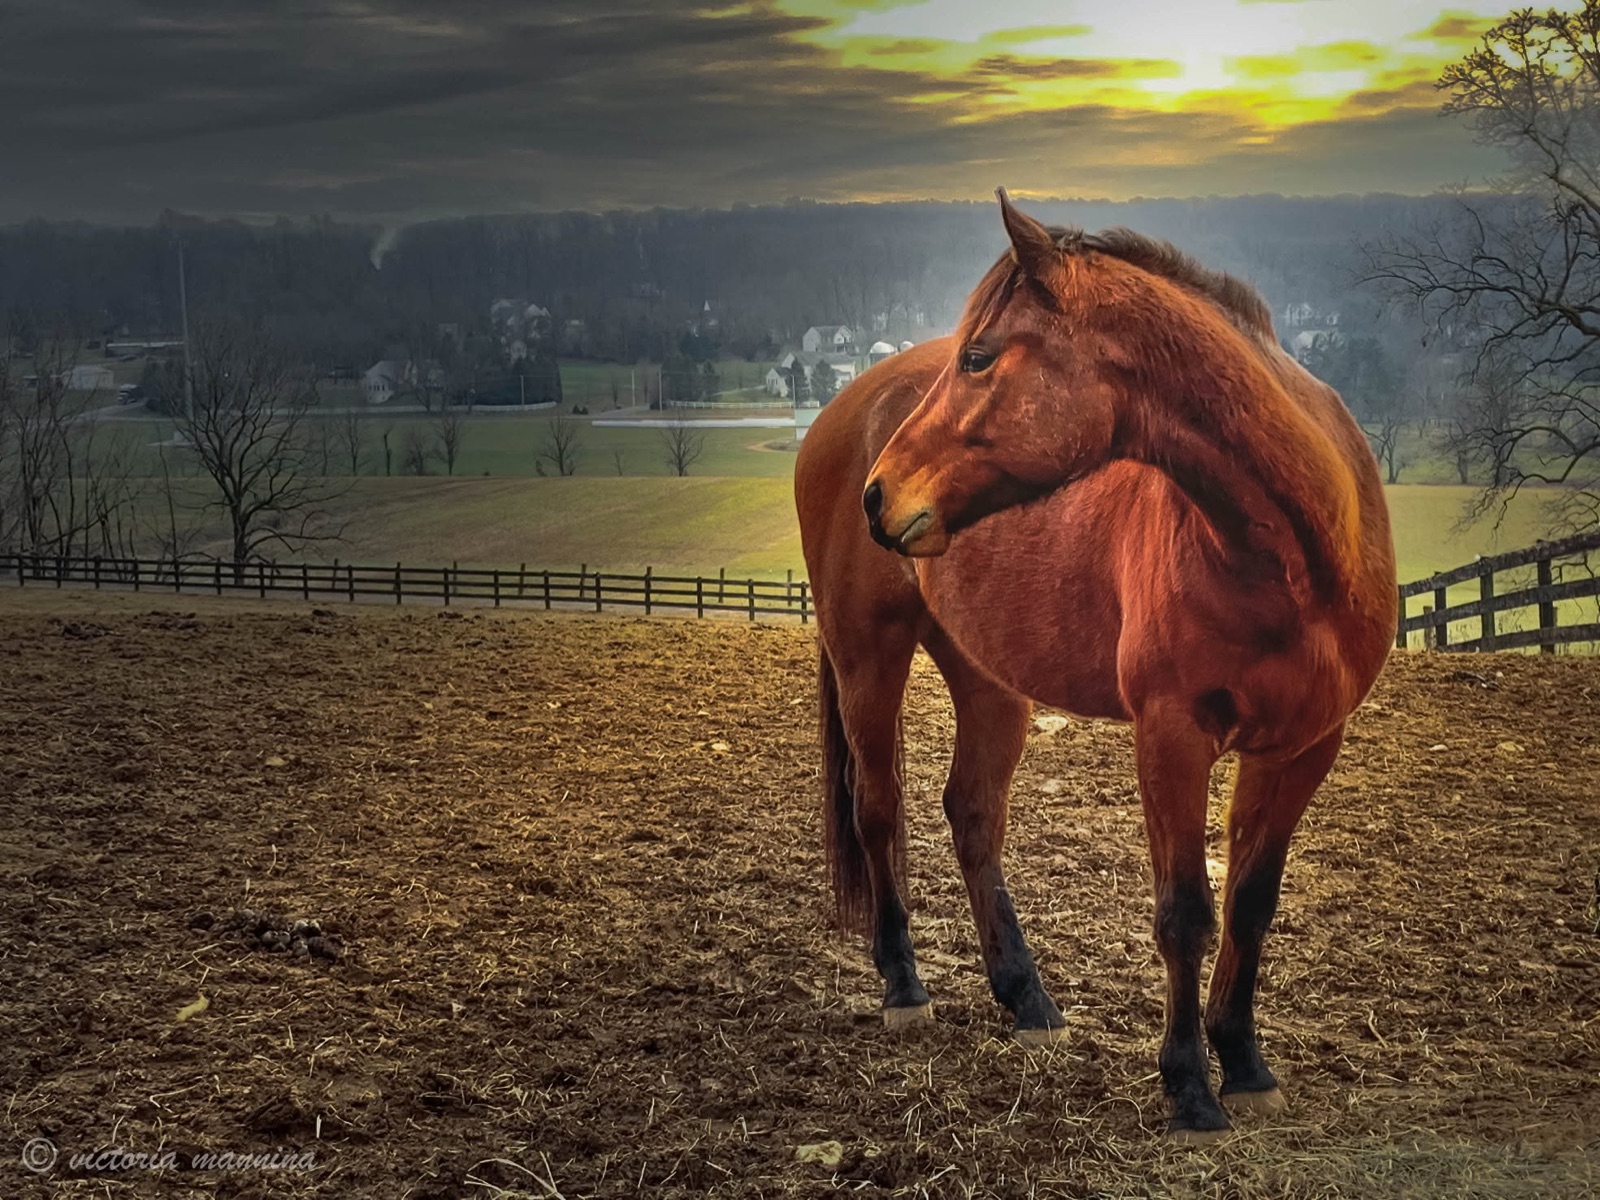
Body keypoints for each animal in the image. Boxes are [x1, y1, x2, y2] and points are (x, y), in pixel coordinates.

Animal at [793, 191, 1396, 1142]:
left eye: (979, 356)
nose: (880, 495)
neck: (1288, 557)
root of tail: (841, 413)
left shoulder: (1302, 748)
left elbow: (1252, 904)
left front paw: (1245, 1062)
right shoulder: (1172, 738)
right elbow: (1185, 912)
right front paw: (1189, 1086)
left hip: (990, 683)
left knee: (972, 813)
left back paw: (1026, 996)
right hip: (868, 658)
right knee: (878, 810)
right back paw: (904, 986)